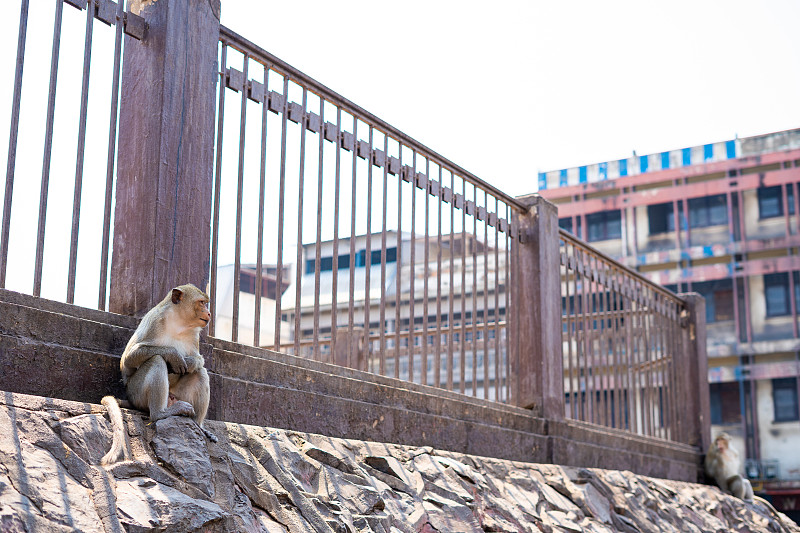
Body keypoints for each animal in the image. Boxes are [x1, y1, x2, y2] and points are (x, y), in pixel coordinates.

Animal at [101, 284, 217, 464]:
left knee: (200, 373)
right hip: (137, 393)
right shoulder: (155, 321)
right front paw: (173, 355)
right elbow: (128, 358)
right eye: (202, 303)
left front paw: (190, 362)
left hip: (177, 394)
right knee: (156, 360)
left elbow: (199, 361)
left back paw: (198, 425)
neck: (179, 323)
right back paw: (160, 414)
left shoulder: (195, 334)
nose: (209, 313)